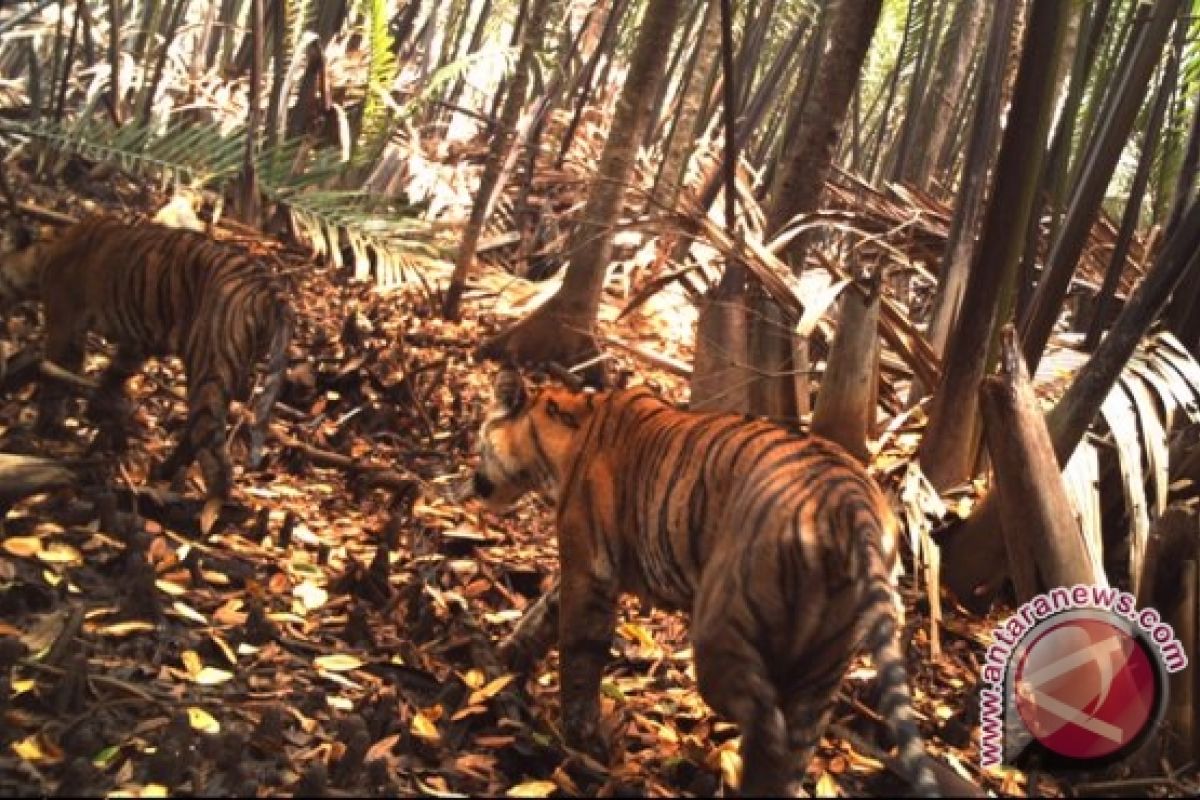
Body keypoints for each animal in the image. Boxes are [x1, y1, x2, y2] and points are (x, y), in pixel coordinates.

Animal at [0, 212, 292, 501]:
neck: (45, 251)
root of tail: (271, 287)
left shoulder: (65, 326)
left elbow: (55, 377)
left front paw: (44, 429)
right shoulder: (138, 342)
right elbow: (115, 373)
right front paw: (97, 407)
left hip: (210, 364)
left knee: (216, 456)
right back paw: (164, 472)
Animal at [463, 371, 940, 796]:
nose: (472, 482)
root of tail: (852, 502)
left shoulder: (588, 568)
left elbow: (579, 653)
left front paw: (578, 737)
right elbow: (545, 610)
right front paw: (508, 657)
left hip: (720, 627)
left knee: (767, 724)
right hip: (824, 662)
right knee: (793, 750)